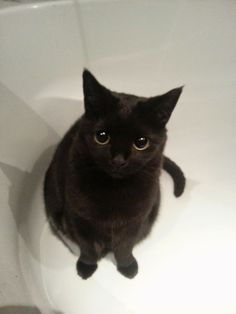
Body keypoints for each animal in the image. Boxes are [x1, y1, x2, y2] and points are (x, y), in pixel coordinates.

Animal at [43, 70, 185, 278]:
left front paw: (127, 266)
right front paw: (86, 267)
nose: (118, 160)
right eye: (102, 137)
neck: (114, 190)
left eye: (141, 142)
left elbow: (124, 247)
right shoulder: (78, 218)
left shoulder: (135, 221)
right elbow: (87, 247)